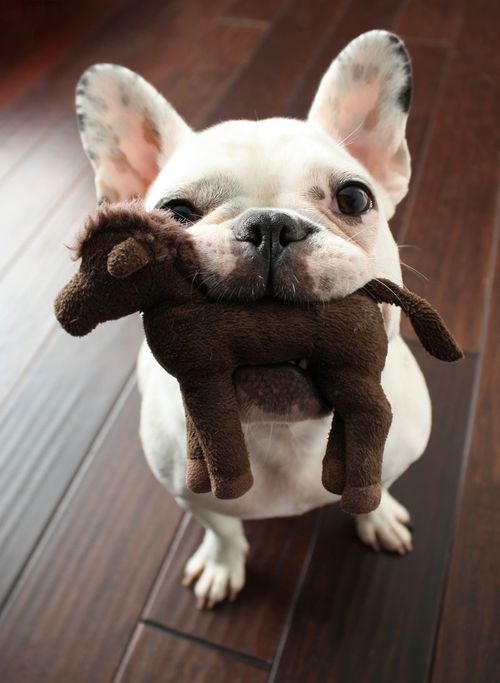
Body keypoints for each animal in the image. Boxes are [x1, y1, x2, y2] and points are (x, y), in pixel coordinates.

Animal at [75, 32, 434, 608]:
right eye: (175, 213)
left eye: (354, 197)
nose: (269, 226)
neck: (282, 430)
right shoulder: (192, 497)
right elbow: (223, 529)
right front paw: (223, 565)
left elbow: (377, 489)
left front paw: (377, 520)